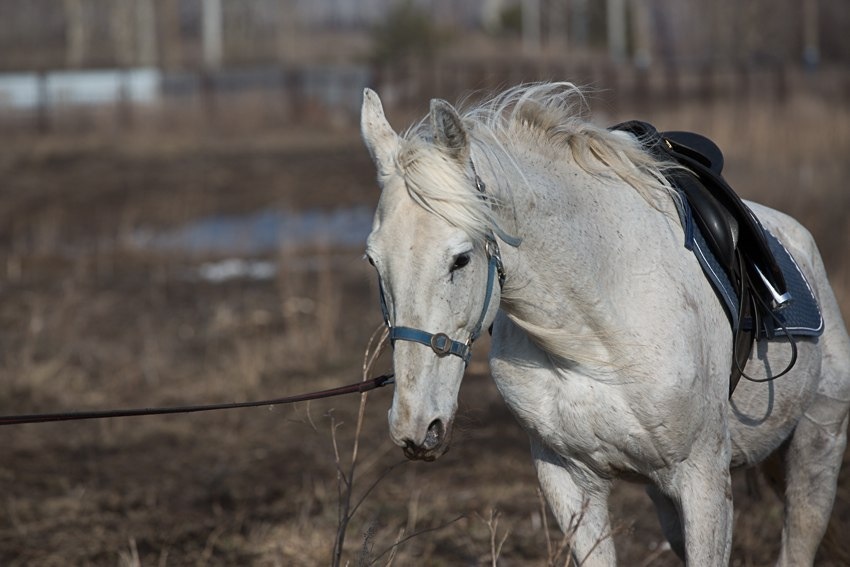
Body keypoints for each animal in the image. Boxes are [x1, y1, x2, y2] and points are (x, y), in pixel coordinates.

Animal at [359, 82, 850, 566]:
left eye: (460, 258)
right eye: (373, 261)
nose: (415, 426)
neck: (594, 337)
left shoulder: (704, 479)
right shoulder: (570, 480)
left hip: (817, 449)